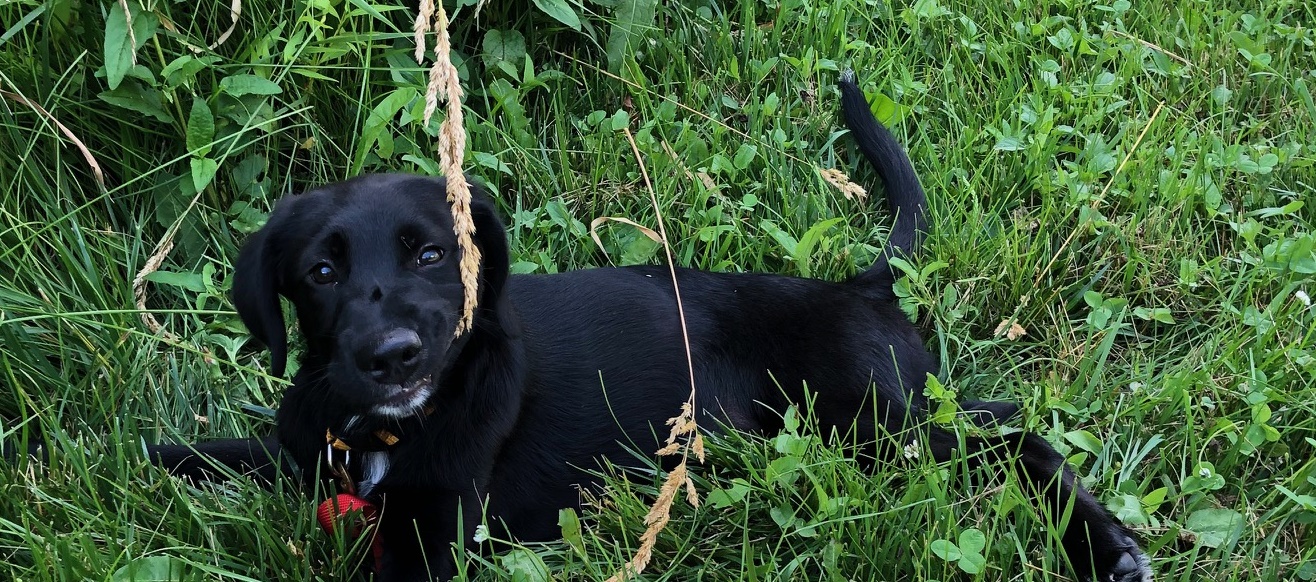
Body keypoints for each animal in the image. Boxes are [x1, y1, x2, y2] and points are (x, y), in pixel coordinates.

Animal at [146, 73, 1152, 582]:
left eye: (432, 254)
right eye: (320, 274)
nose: (392, 358)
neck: (386, 433)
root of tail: (859, 287)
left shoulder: (438, 537)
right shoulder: (305, 449)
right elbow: (214, 454)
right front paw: (171, 457)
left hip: (868, 426)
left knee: (1019, 442)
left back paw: (1110, 552)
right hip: (888, 414)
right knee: (1003, 418)